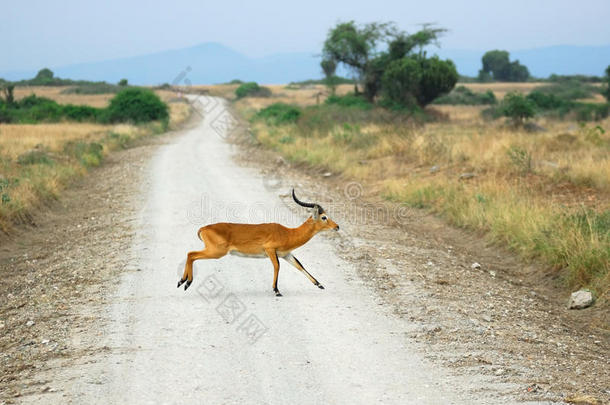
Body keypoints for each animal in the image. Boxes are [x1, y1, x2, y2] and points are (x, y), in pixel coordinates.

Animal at [177, 188, 338, 296]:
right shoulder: (270, 250)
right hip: (217, 252)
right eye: (324, 217)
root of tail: (204, 228)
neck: (288, 233)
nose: (337, 227)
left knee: (190, 254)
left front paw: (320, 284)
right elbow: (277, 266)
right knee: (191, 254)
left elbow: (300, 266)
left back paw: (182, 282)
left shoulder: (287, 254)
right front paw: (276, 290)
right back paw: (186, 282)